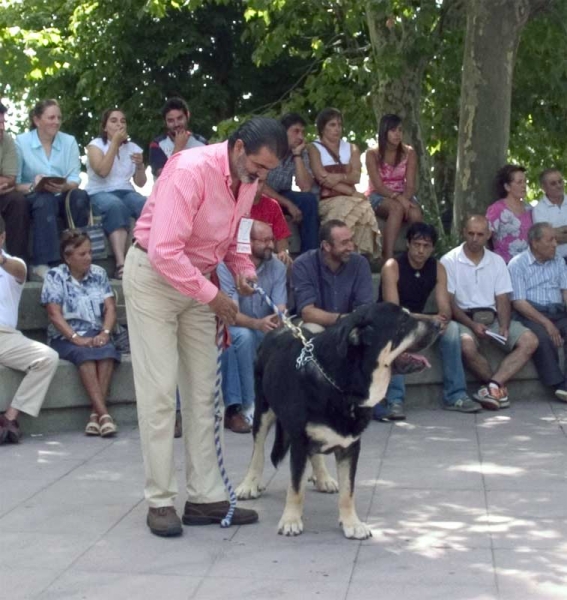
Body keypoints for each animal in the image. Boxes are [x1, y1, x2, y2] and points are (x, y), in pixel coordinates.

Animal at [235, 302, 440, 540]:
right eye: (404, 321)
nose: (440, 322)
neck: (341, 384)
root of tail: (280, 328)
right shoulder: (299, 441)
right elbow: (295, 487)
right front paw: (291, 520)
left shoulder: (351, 446)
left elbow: (348, 490)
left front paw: (352, 523)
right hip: (263, 408)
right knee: (257, 452)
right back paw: (249, 484)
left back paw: (323, 477)